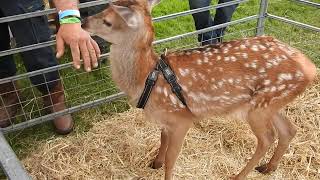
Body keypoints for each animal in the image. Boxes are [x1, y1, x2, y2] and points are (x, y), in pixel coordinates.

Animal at [81, 0, 316, 179]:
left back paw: (238, 175)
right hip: (272, 103)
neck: (147, 78)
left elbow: (172, 158)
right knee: (289, 129)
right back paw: (268, 168)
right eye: (103, 10)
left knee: (267, 137)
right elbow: (162, 139)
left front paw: (164, 168)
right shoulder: (167, 120)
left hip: (259, 107)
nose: (82, 22)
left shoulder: (181, 118)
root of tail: (311, 68)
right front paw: (155, 162)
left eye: (108, 21)